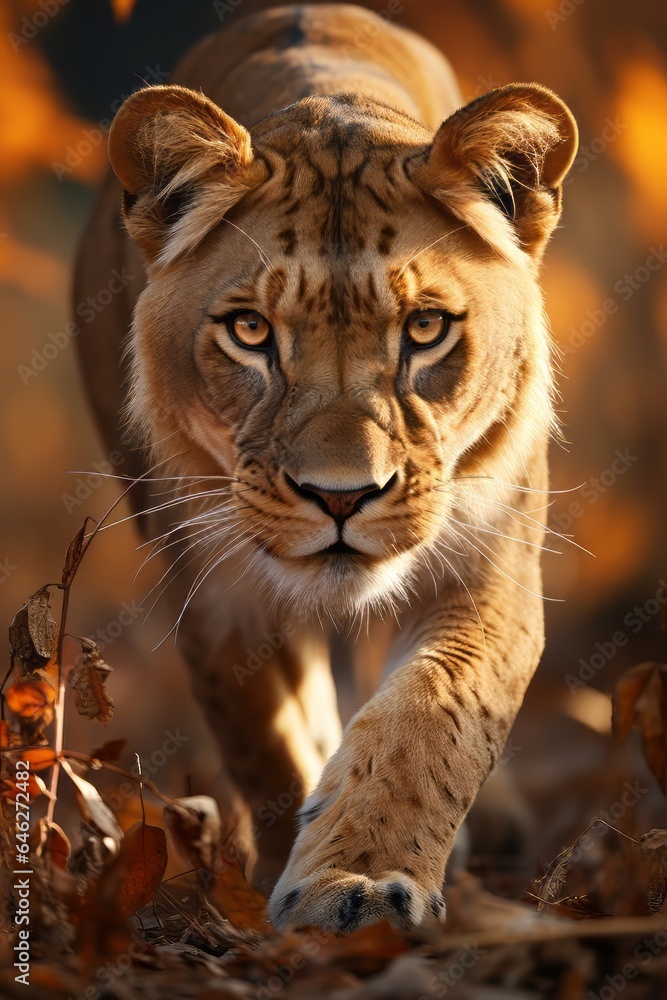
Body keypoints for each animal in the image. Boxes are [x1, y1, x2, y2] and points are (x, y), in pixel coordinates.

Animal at [74, 2, 577, 932]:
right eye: (249, 331)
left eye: (424, 329)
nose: (340, 498)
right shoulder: (220, 591)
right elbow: (269, 748)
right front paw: (292, 878)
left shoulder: (490, 559)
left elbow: (434, 711)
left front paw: (362, 881)